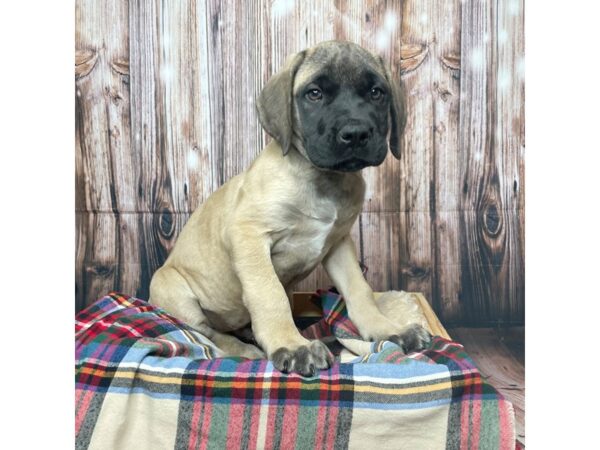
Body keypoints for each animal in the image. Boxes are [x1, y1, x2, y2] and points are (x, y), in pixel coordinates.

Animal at [150, 40, 432, 374]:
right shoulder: (249, 236)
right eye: (314, 93)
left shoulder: (338, 243)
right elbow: (269, 295)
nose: (356, 134)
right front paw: (292, 344)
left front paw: (387, 329)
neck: (323, 180)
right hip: (172, 287)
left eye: (376, 92)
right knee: (208, 334)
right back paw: (246, 349)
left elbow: (359, 290)